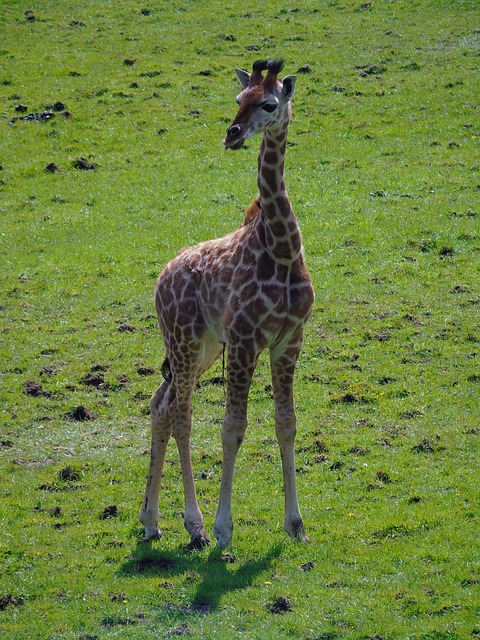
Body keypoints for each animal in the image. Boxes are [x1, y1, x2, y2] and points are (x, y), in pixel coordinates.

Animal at [139, 58, 316, 552]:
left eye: (269, 103)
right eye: (238, 98)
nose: (232, 133)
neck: (282, 251)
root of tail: (160, 279)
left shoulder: (288, 340)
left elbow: (286, 422)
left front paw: (296, 525)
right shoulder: (244, 341)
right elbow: (232, 429)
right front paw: (223, 529)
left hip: (202, 347)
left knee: (160, 403)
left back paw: (151, 521)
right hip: (183, 340)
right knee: (180, 411)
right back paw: (194, 524)